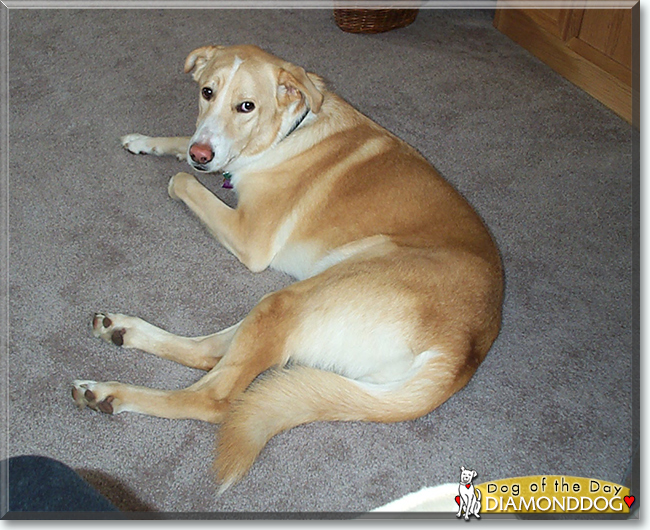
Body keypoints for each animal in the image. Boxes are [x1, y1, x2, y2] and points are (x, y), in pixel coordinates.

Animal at [73, 43, 504, 488]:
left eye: (246, 105)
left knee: (213, 396)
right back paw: (123, 330)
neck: (287, 132)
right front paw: (146, 141)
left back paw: (110, 393)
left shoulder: (250, 237)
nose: (201, 153)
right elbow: (185, 147)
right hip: (298, 300)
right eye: (207, 92)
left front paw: (180, 164)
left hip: (297, 296)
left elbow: (181, 180)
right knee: (210, 353)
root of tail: (461, 355)